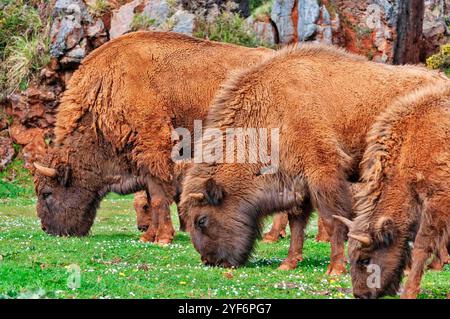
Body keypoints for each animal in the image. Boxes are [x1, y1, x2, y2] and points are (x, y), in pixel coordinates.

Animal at [33, 31, 270, 244]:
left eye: (46, 193)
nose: (46, 229)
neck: (108, 88)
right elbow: (152, 194)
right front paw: (148, 236)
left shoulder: (155, 150)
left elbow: (158, 197)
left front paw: (163, 237)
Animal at [179, 43, 446, 276]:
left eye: (201, 220)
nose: (211, 261)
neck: (275, 109)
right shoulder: (298, 181)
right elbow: (296, 222)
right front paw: (288, 264)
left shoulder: (324, 173)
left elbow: (331, 219)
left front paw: (335, 269)